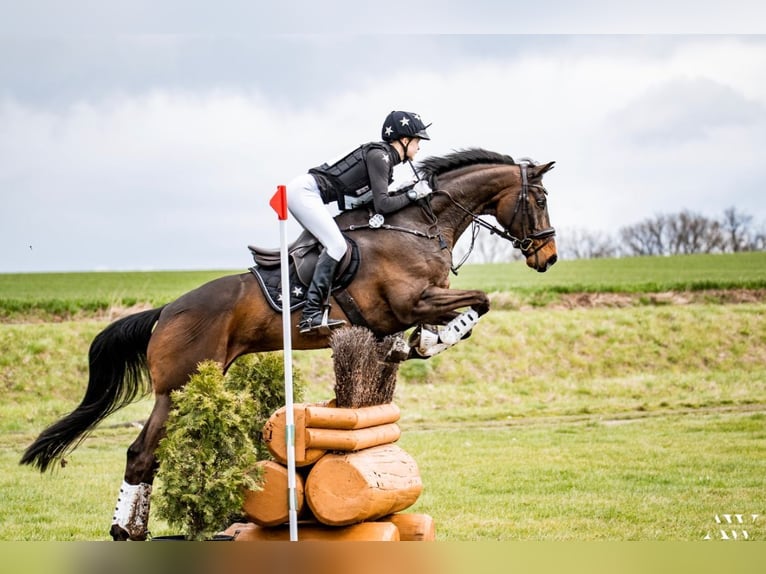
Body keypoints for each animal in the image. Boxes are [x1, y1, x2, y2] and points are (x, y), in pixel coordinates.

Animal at [18, 147, 560, 540]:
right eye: (539, 199)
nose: (549, 257)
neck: (418, 227)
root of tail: (166, 311)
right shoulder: (411, 303)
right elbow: (477, 305)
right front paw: (423, 343)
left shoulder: (416, 306)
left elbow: (469, 312)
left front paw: (413, 345)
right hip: (177, 389)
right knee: (142, 453)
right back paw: (126, 530)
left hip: (183, 387)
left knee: (142, 455)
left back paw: (129, 530)